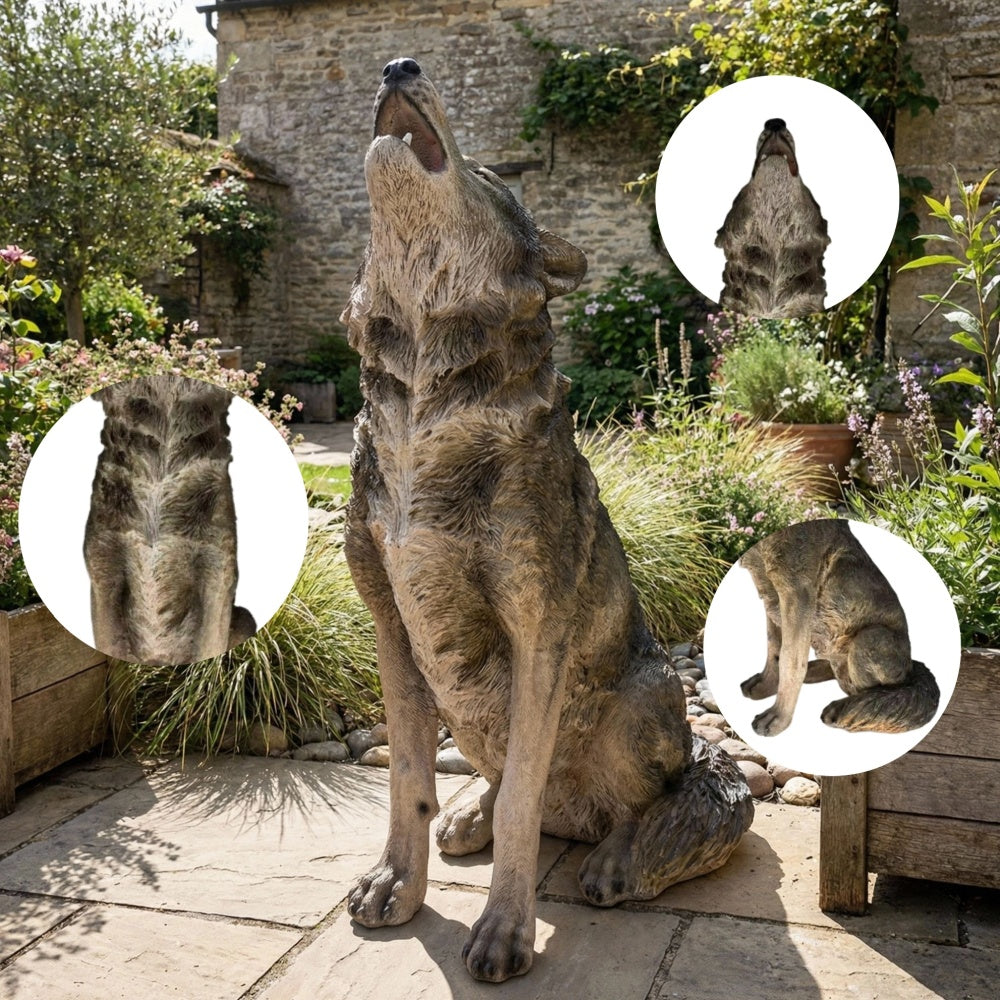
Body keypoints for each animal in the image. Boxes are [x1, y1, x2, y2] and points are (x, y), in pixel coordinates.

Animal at [341, 58, 754, 983]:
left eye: (493, 177)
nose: (398, 66)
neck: (426, 403)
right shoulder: (390, 621)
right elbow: (407, 777)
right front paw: (397, 882)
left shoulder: (539, 628)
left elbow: (527, 795)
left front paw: (505, 929)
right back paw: (472, 815)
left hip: (641, 697)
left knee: (682, 799)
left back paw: (624, 856)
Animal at [739, 518, 939, 737]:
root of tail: (910, 668)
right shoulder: (770, 594)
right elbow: (774, 647)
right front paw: (766, 685)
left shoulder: (796, 592)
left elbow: (790, 660)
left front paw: (778, 717)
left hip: (871, 637)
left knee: (870, 691)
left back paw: (845, 708)